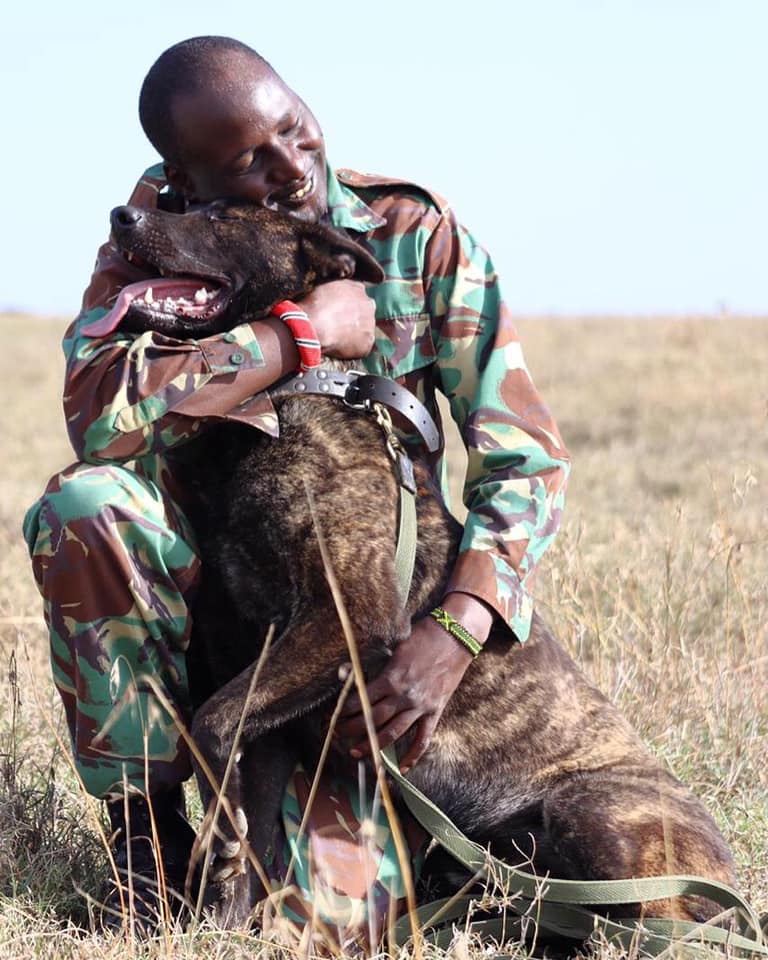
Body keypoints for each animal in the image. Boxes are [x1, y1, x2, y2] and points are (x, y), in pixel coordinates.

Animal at [105, 201, 736, 928]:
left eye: (219, 218)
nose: (122, 216)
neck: (291, 392)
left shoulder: (345, 616)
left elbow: (209, 724)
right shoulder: (267, 694)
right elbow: (252, 823)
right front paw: (226, 918)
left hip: (589, 813)